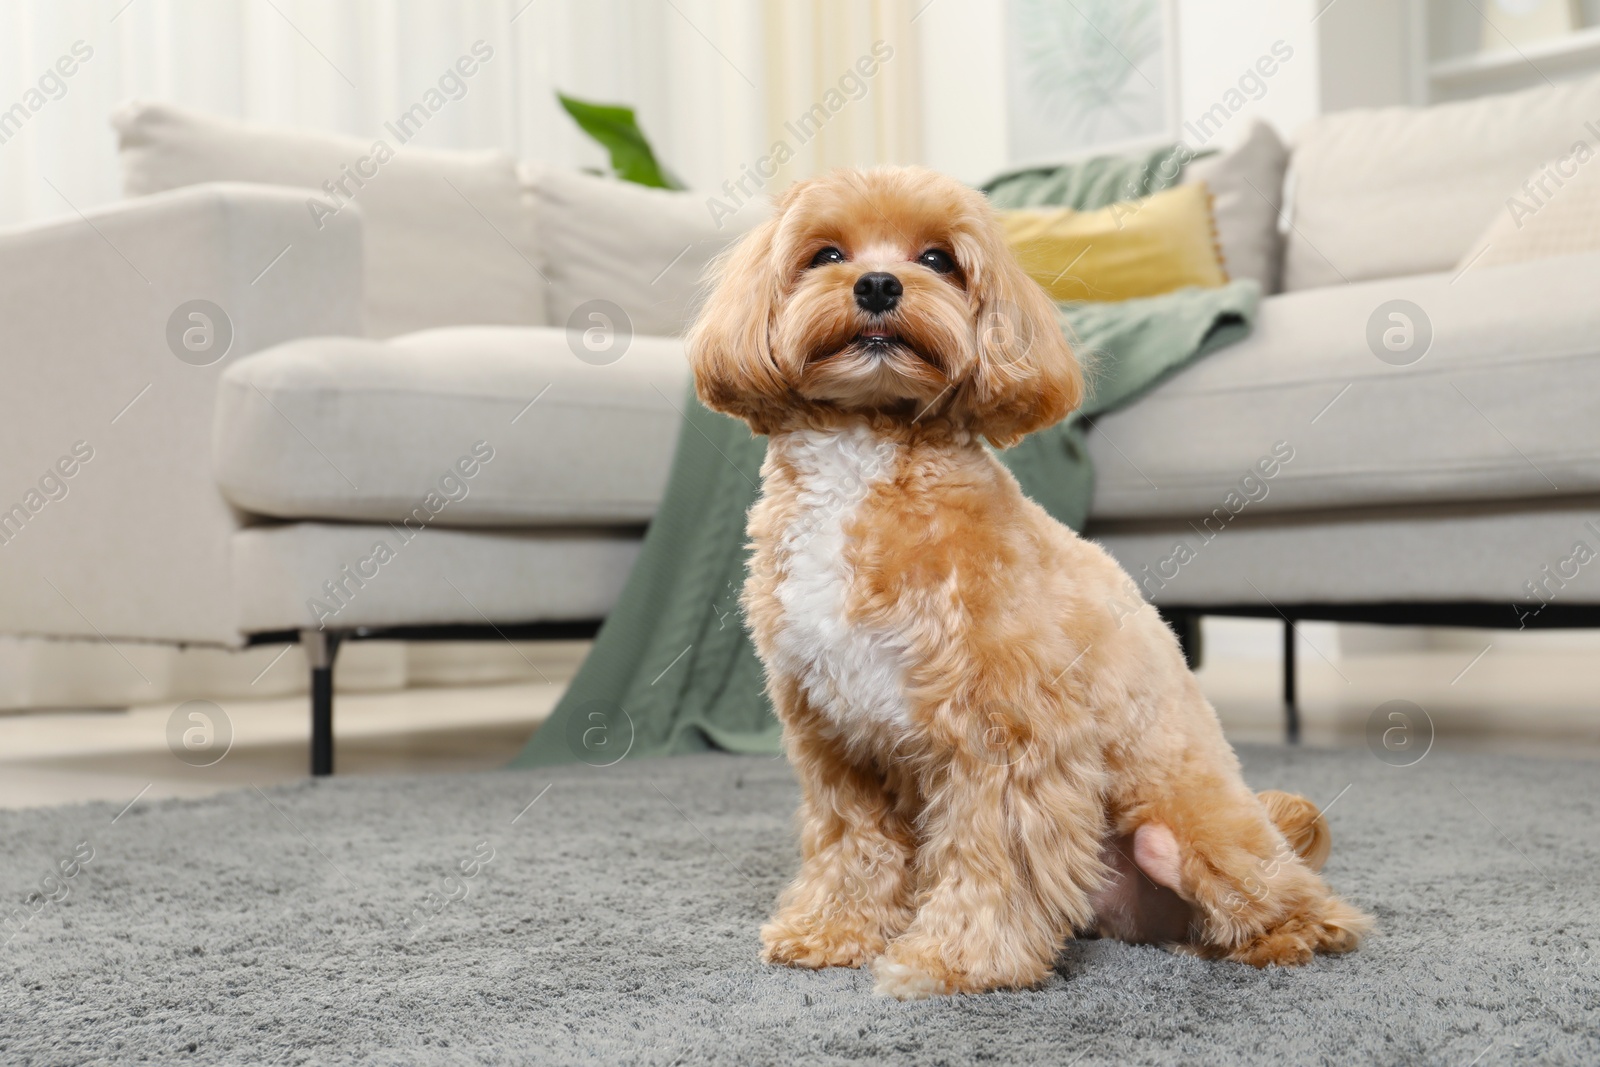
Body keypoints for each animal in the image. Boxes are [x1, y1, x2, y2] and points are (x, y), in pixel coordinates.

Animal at [688, 163, 1376, 998]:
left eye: (939, 259)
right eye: (825, 255)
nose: (879, 284)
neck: (867, 451)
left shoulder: (1008, 734)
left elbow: (994, 859)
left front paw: (956, 959)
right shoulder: (837, 741)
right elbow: (852, 844)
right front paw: (832, 929)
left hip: (1191, 829)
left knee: (1307, 905)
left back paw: (1280, 939)